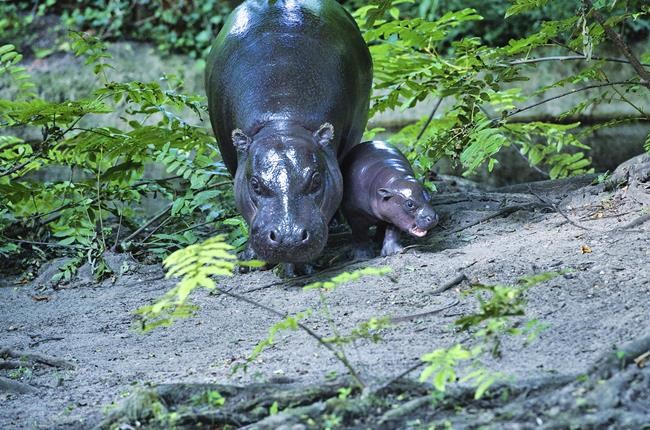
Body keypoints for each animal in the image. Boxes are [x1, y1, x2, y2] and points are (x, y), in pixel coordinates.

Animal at [205, 0, 372, 274]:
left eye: (316, 180)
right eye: (255, 184)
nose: (288, 238)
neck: (282, 120)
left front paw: (300, 267)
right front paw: (248, 262)